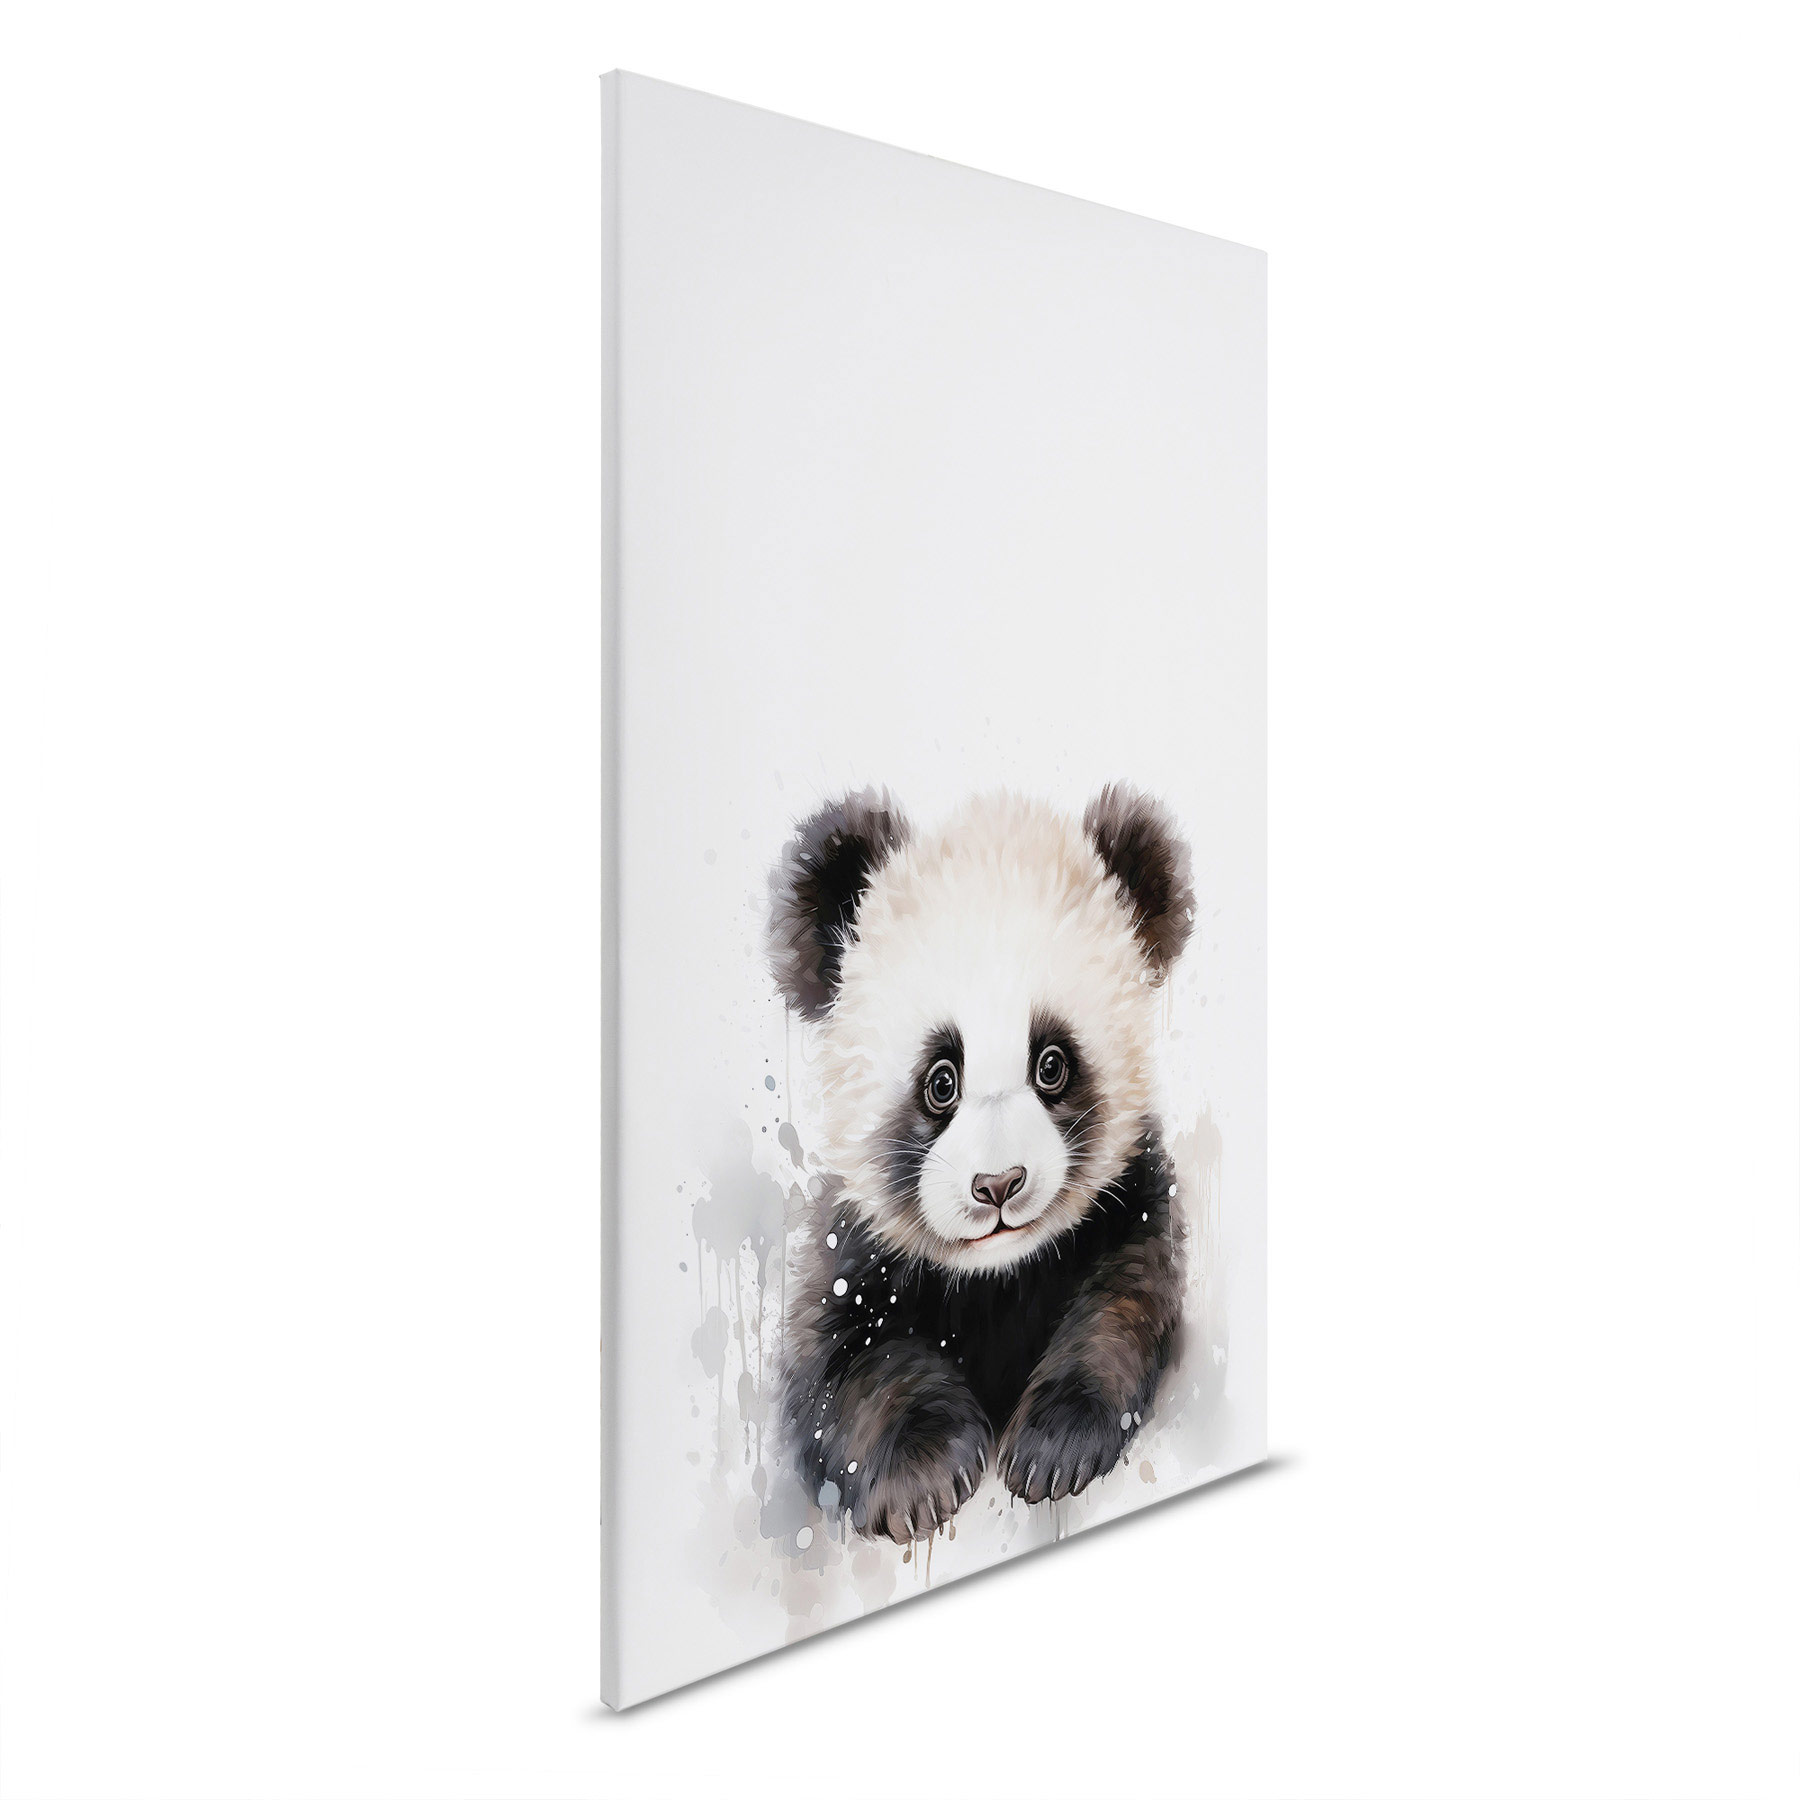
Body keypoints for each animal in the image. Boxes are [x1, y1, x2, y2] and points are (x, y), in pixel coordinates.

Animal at [767, 783, 1194, 1543]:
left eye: (1052, 1064)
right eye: (941, 1081)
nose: (998, 1185)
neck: (998, 1276)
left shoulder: (1133, 1197)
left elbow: (1125, 1300)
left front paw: (1055, 1444)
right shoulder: (851, 1245)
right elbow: (841, 1363)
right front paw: (923, 1470)